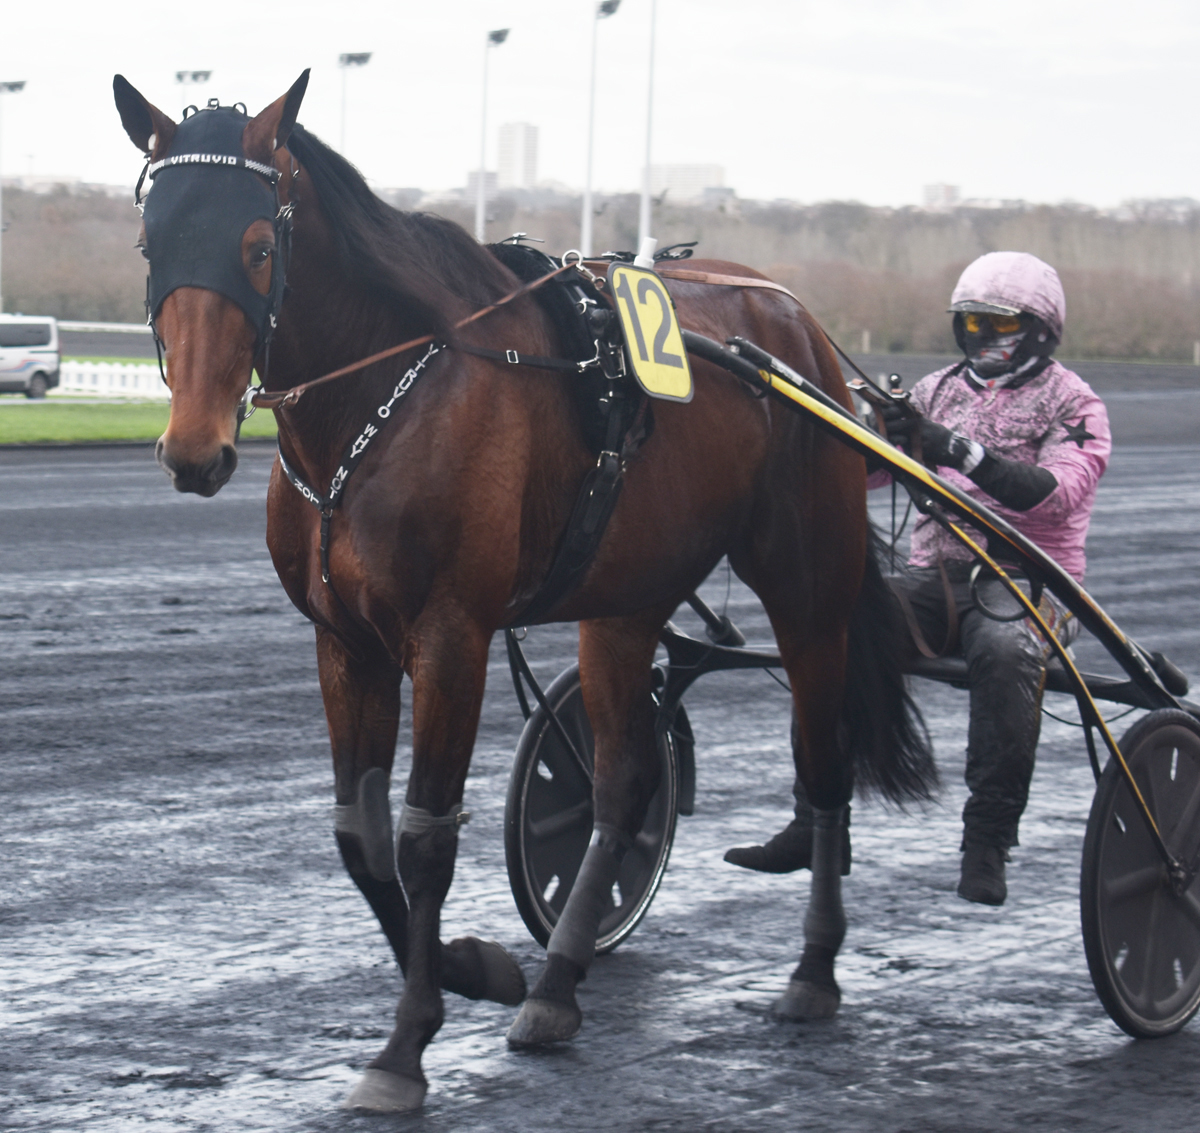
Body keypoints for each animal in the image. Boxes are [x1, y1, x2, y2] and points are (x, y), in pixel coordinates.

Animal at [112, 72, 931, 1113]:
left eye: (257, 245)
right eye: (153, 242)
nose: (194, 450)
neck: (382, 396)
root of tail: (801, 332)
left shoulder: (451, 633)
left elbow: (423, 835)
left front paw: (404, 1047)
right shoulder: (345, 641)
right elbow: (358, 835)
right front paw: (481, 968)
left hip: (807, 583)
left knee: (824, 757)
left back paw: (813, 972)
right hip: (624, 598)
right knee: (623, 780)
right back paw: (556, 987)